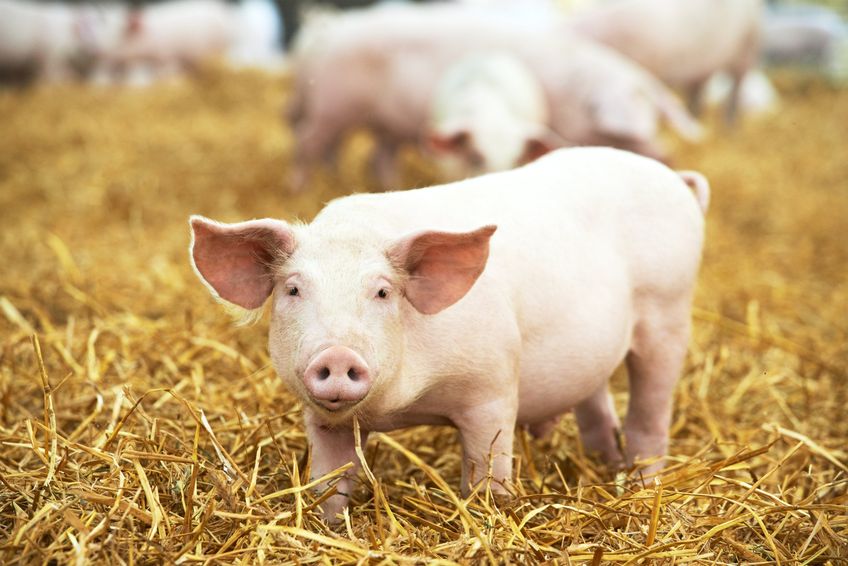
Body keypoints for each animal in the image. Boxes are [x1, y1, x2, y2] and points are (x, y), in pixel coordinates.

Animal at [190, 148, 708, 524]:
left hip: (669, 313)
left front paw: (488, 519)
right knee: (596, 404)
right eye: (293, 289)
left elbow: (487, 474)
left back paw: (642, 484)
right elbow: (330, 482)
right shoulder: (322, 420)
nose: (337, 354)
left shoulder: (492, 389)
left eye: (383, 291)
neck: (403, 407)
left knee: (650, 414)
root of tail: (675, 179)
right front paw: (328, 526)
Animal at [572, 0, 764, 124]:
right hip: (707, 63)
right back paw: (696, 115)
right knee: (699, 87)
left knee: (737, 86)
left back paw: (729, 127)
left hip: (747, 46)